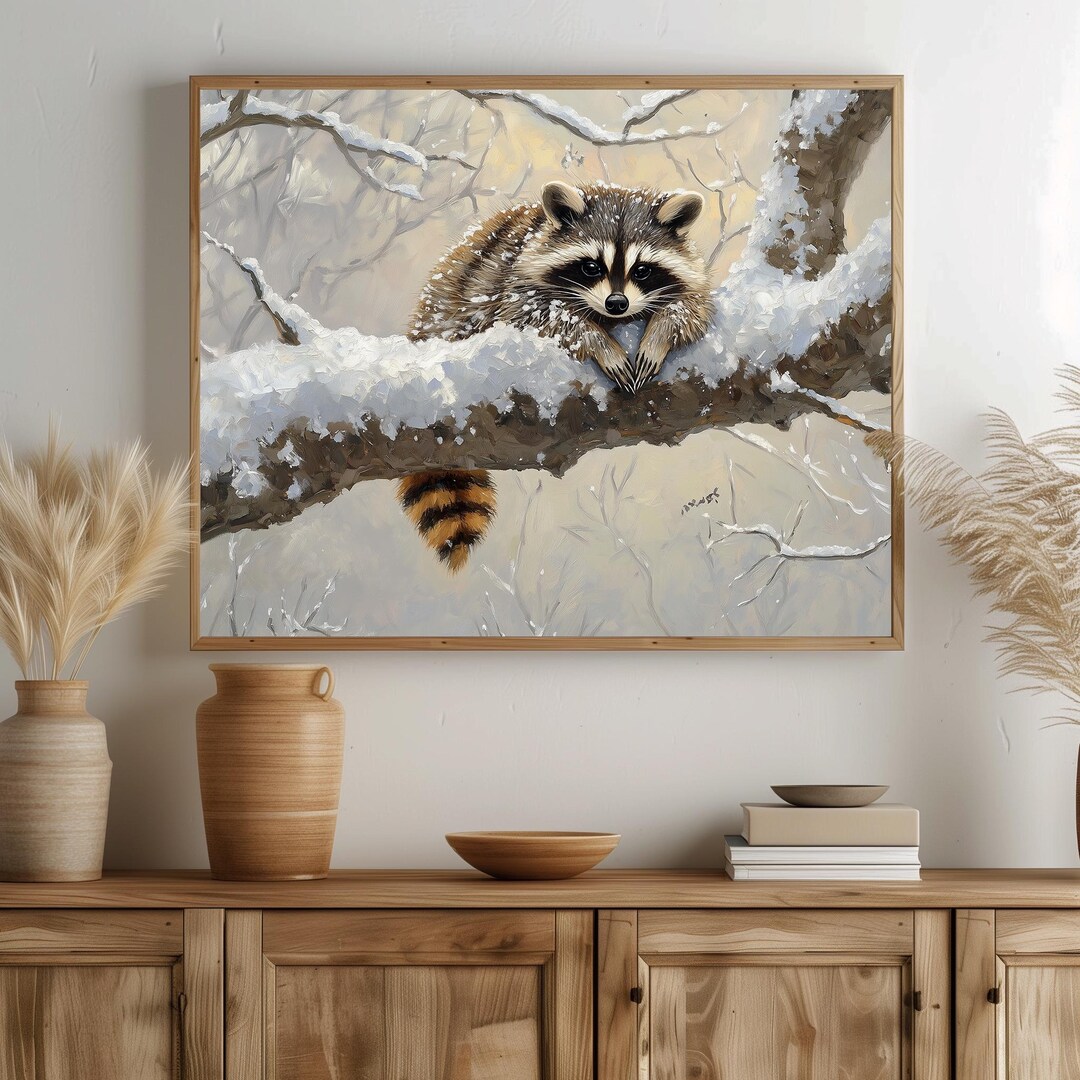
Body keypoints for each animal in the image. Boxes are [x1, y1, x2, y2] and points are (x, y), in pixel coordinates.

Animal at [400, 180, 715, 572]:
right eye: (591, 267)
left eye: (642, 270)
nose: (617, 304)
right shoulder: (512, 284)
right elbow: (540, 316)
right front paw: (598, 341)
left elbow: (695, 304)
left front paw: (661, 330)